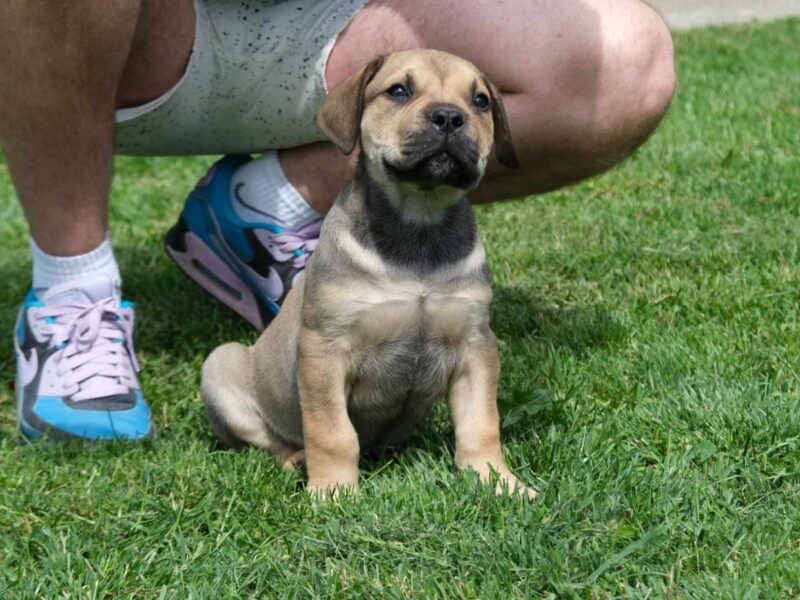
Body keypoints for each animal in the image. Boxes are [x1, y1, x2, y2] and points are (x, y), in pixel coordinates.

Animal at [202, 49, 536, 500]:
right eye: (398, 91)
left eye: (480, 101)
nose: (450, 117)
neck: (418, 225)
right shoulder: (324, 348)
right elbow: (332, 431)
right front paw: (333, 494)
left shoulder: (475, 344)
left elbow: (481, 423)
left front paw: (498, 481)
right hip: (220, 366)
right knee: (270, 440)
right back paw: (296, 459)